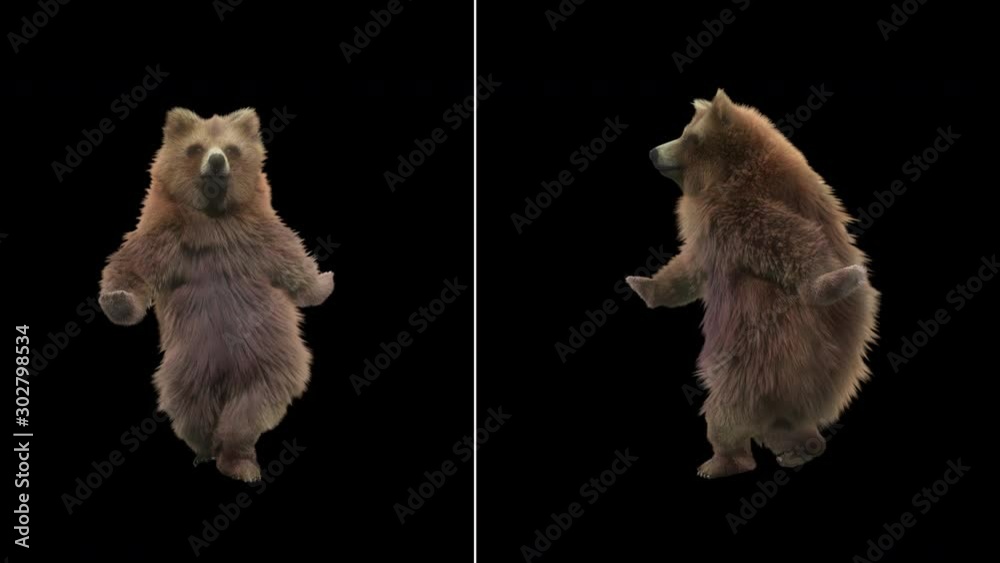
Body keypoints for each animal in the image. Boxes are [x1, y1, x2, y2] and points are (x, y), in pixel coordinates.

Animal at [99, 107, 333, 482]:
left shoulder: (257, 234)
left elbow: (291, 258)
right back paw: (205, 448)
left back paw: (237, 457)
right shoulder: (165, 234)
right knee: (189, 403)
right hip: (189, 360)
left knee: (254, 402)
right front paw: (117, 299)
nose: (217, 160)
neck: (213, 214)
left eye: (232, 148)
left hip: (266, 354)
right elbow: (132, 264)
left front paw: (323, 280)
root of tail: (224, 373)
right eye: (195, 148)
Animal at [626, 89, 879, 479]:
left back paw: (722, 461)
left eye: (689, 137)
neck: (723, 177)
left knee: (728, 409)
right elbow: (688, 268)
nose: (654, 151)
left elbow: (793, 240)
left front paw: (835, 280)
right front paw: (642, 284)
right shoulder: (712, 239)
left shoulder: (744, 211)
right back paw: (800, 448)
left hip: (762, 358)